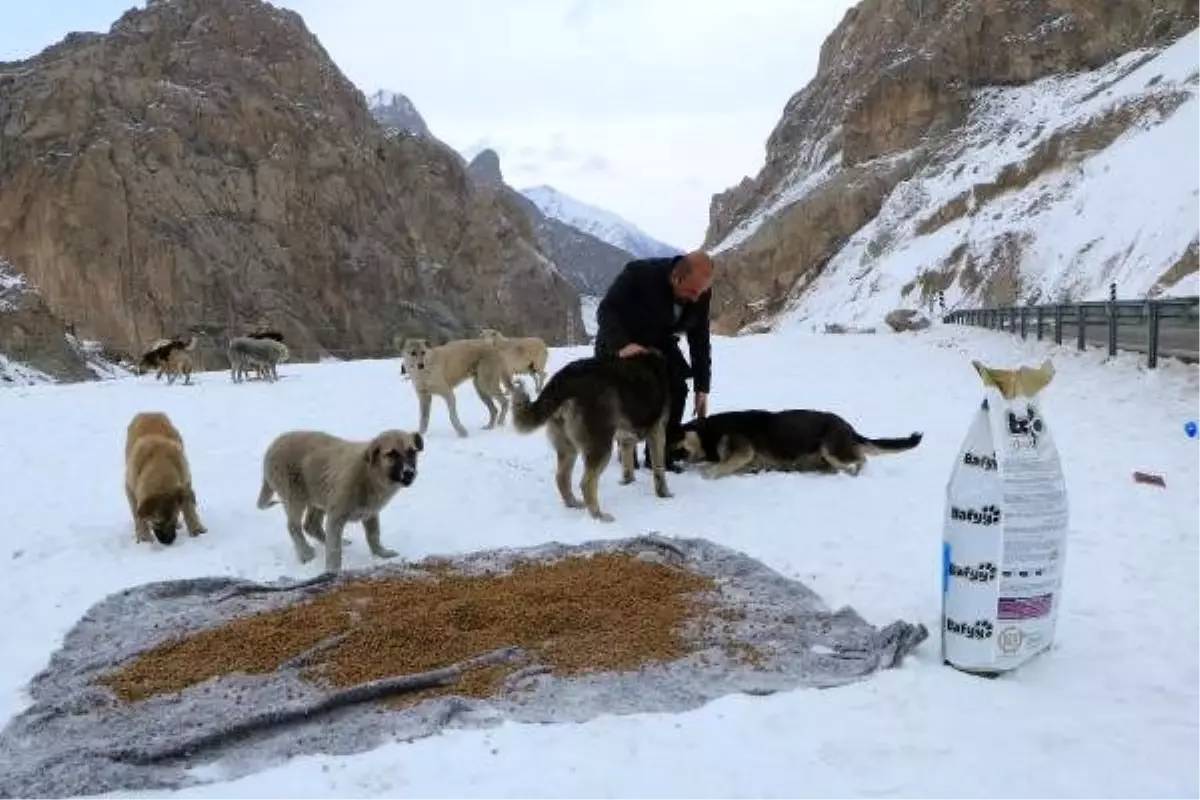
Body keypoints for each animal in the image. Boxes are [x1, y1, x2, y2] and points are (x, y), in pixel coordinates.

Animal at [123, 412, 207, 544]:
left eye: (174, 518)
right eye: (157, 522)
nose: (169, 542)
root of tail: (149, 412)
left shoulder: (185, 482)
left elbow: (188, 506)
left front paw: (196, 529)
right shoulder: (129, 488)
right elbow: (137, 516)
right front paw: (144, 537)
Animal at [255, 429, 424, 573]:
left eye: (412, 452)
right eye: (392, 454)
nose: (409, 473)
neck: (369, 474)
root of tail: (271, 447)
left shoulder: (370, 513)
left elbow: (373, 535)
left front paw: (382, 553)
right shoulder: (336, 515)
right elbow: (334, 550)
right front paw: (332, 571)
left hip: (319, 494)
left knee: (311, 525)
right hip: (295, 496)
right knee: (293, 526)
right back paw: (306, 554)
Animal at [508, 350, 676, 525]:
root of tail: (565, 378)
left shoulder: (626, 439)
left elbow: (628, 465)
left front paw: (628, 482)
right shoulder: (658, 432)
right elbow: (659, 470)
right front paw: (664, 494)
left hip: (568, 448)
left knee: (561, 477)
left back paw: (573, 503)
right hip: (601, 446)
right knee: (586, 483)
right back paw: (598, 516)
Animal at [676, 410, 916, 479]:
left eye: (674, 444)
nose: (675, 467)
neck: (707, 431)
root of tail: (850, 429)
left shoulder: (743, 452)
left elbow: (711, 470)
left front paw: (706, 472)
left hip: (830, 450)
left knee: (861, 459)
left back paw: (855, 473)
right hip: (827, 457)